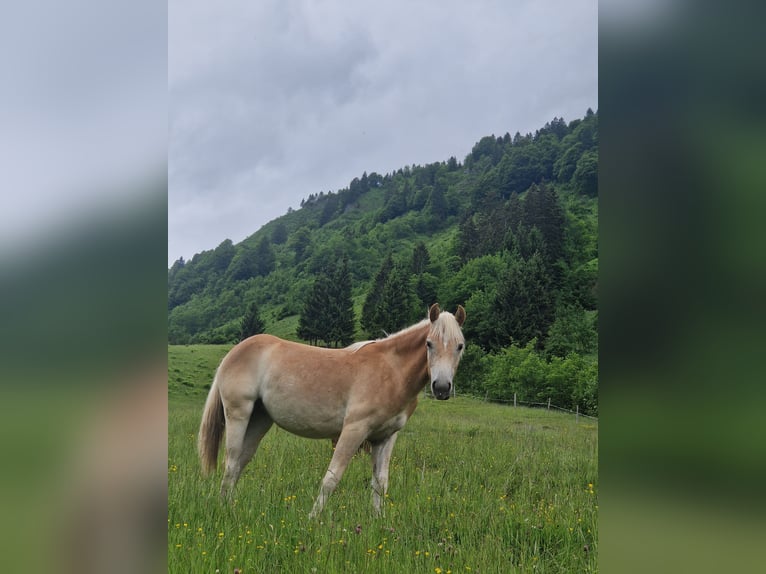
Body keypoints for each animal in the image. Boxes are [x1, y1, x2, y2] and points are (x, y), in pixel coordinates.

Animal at [198, 304, 468, 520]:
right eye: (429, 344)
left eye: (460, 346)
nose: (441, 387)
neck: (391, 371)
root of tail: (234, 352)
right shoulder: (353, 430)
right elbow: (331, 478)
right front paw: (312, 519)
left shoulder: (385, 437)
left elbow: (380, 483)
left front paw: (379, 522)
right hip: (238, 414)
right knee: (231, 462)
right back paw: (222, 508)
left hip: (259, 420)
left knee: (241, 462)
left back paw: (229, 506)